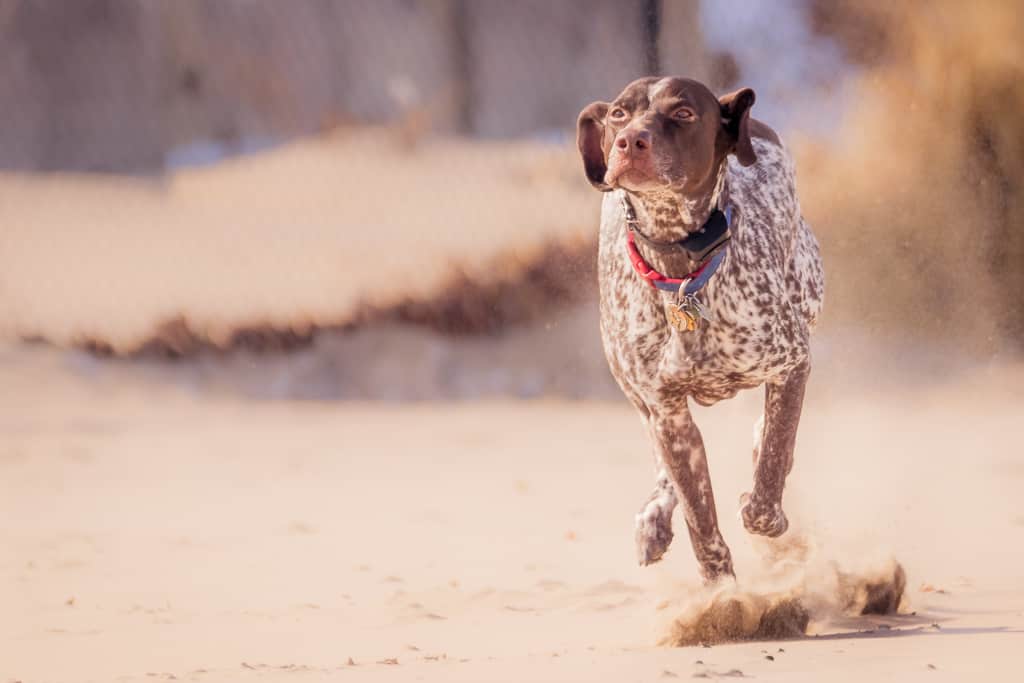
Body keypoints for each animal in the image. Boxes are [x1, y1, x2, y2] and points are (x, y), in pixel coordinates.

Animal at [577, 77, 823, 585]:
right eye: (618, 113)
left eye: (684, 113)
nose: (630, 140)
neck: (679, 268)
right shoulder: (668, 412)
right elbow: (697, 514)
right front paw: (722, 592)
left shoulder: (792, 363)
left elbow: (772, 464)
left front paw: (762, 504)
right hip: (630, 385)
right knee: (660, 460)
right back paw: (654, 518)